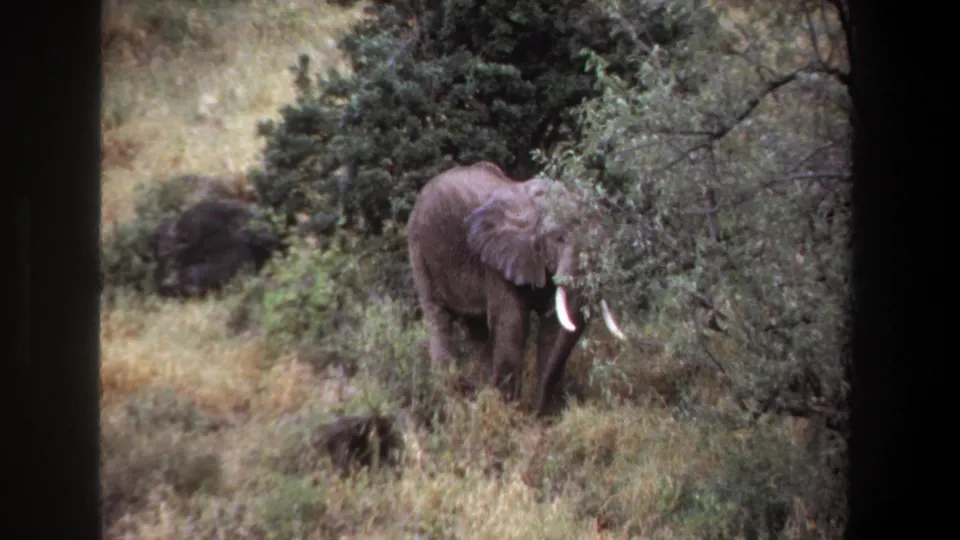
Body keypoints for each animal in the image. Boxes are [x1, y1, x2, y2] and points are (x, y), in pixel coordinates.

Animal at [407, 161, 626, 416]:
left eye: (605, 240)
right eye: (559, 238)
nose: (535, 412)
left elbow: (552, 327)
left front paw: (542, 415)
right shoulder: (495, 260)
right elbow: (512, 323)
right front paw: (510, 412)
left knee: (477, 329)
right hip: (419, 249)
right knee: (438, 318)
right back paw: (451, 400)